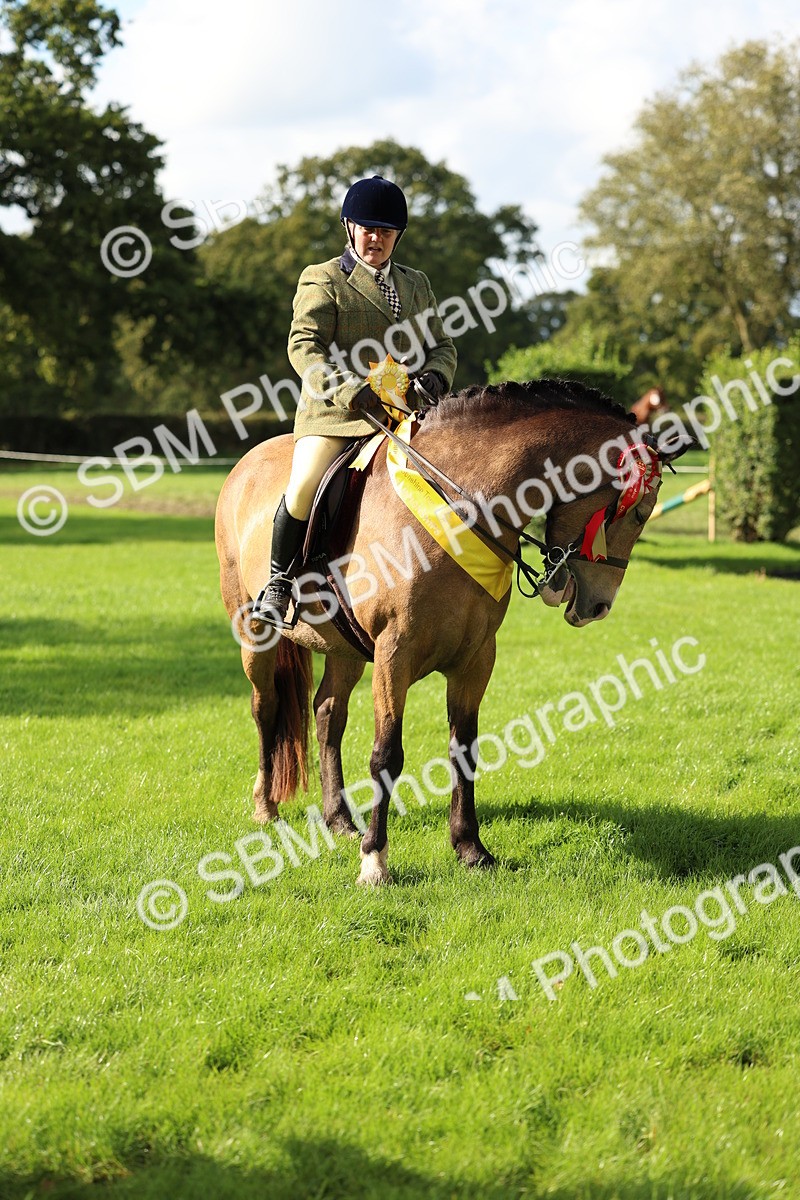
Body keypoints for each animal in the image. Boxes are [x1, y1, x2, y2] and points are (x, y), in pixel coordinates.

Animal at [215, 379, 690, 886]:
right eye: (638, 512)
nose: (598, 607)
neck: (460, 505)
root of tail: (246, 462)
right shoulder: (394, 654)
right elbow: (387, 755)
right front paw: (375, 861)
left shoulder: (476, 657)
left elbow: (464, 749)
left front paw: (470, 848)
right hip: (255, 633)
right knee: (265, 708)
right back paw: (266, 807)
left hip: (344, 649)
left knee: (327, 714)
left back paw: (339, 819)